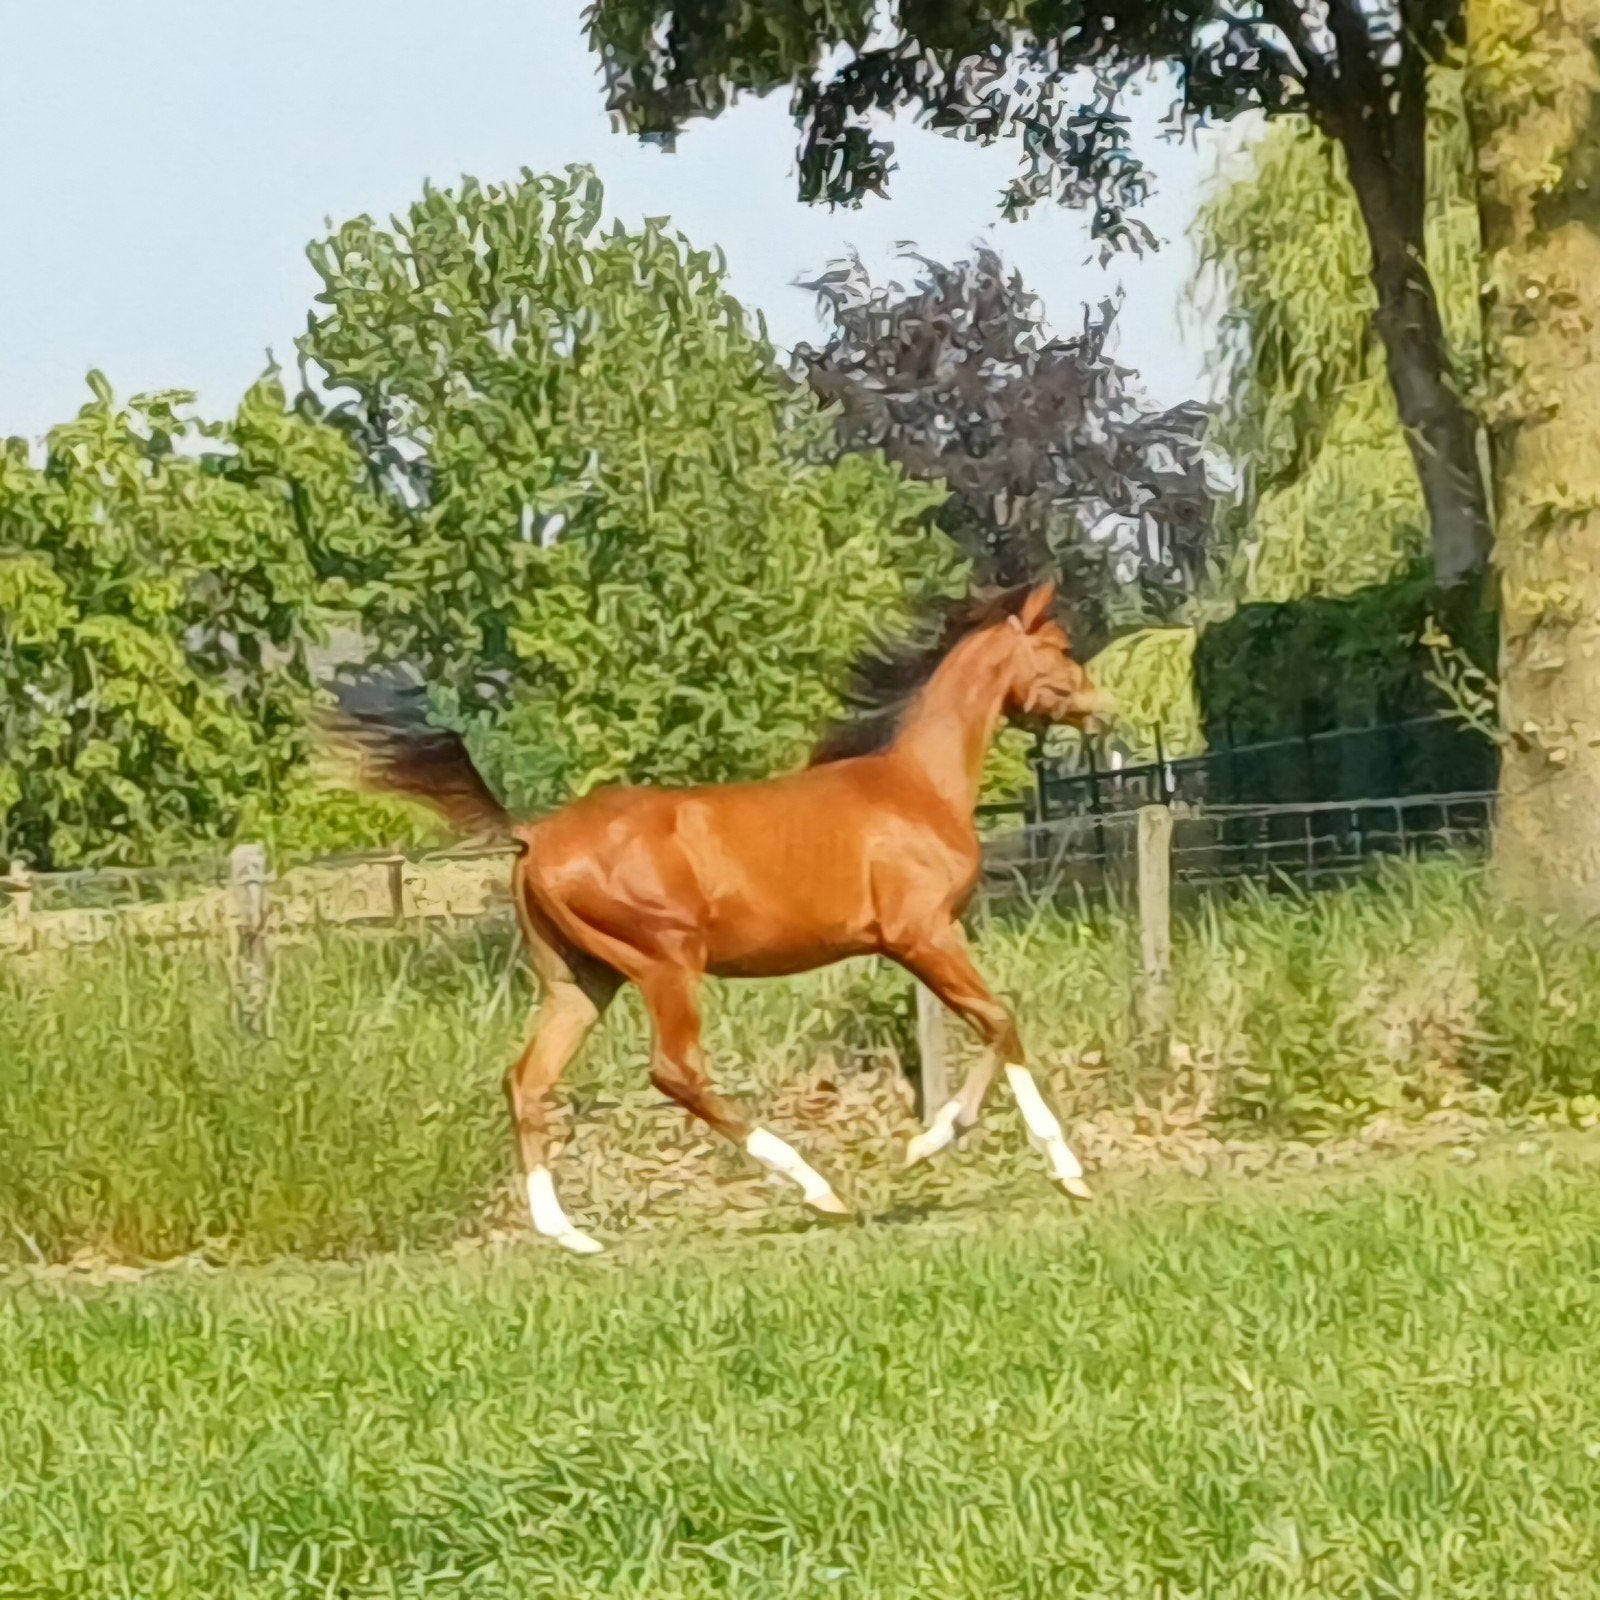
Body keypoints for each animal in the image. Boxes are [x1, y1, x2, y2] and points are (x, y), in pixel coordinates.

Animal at [326, 579, 1113, 1254]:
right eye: (1060, 648)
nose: (1102, 708)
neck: (917, 786)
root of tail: (534, 833)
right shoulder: (921, 936)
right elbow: (1000, 1022)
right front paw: (994, 1156)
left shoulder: (921, 944)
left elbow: (997, 1027)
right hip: (667, 963)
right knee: (675, 1073)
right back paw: (816, 1188)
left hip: (580, 983)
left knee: (529, 1081)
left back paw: (568, 1233)